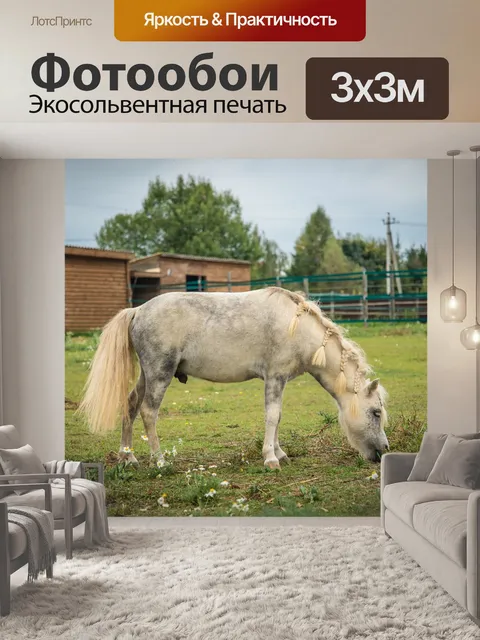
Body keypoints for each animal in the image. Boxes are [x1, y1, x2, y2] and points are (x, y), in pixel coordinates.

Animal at [78, 286, 389, 469]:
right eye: (375, 412)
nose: (384, 450)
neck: (297, 328)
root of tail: (138, 310)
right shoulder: (274, 377)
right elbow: (272, 416)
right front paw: (271, 458)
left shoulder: (279, 381)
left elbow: (278, 416)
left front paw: (279, 453)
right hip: (159, 373)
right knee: (148, 412)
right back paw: (160, 460)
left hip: (147, 375)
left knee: (131, 405)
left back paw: (127, 456)